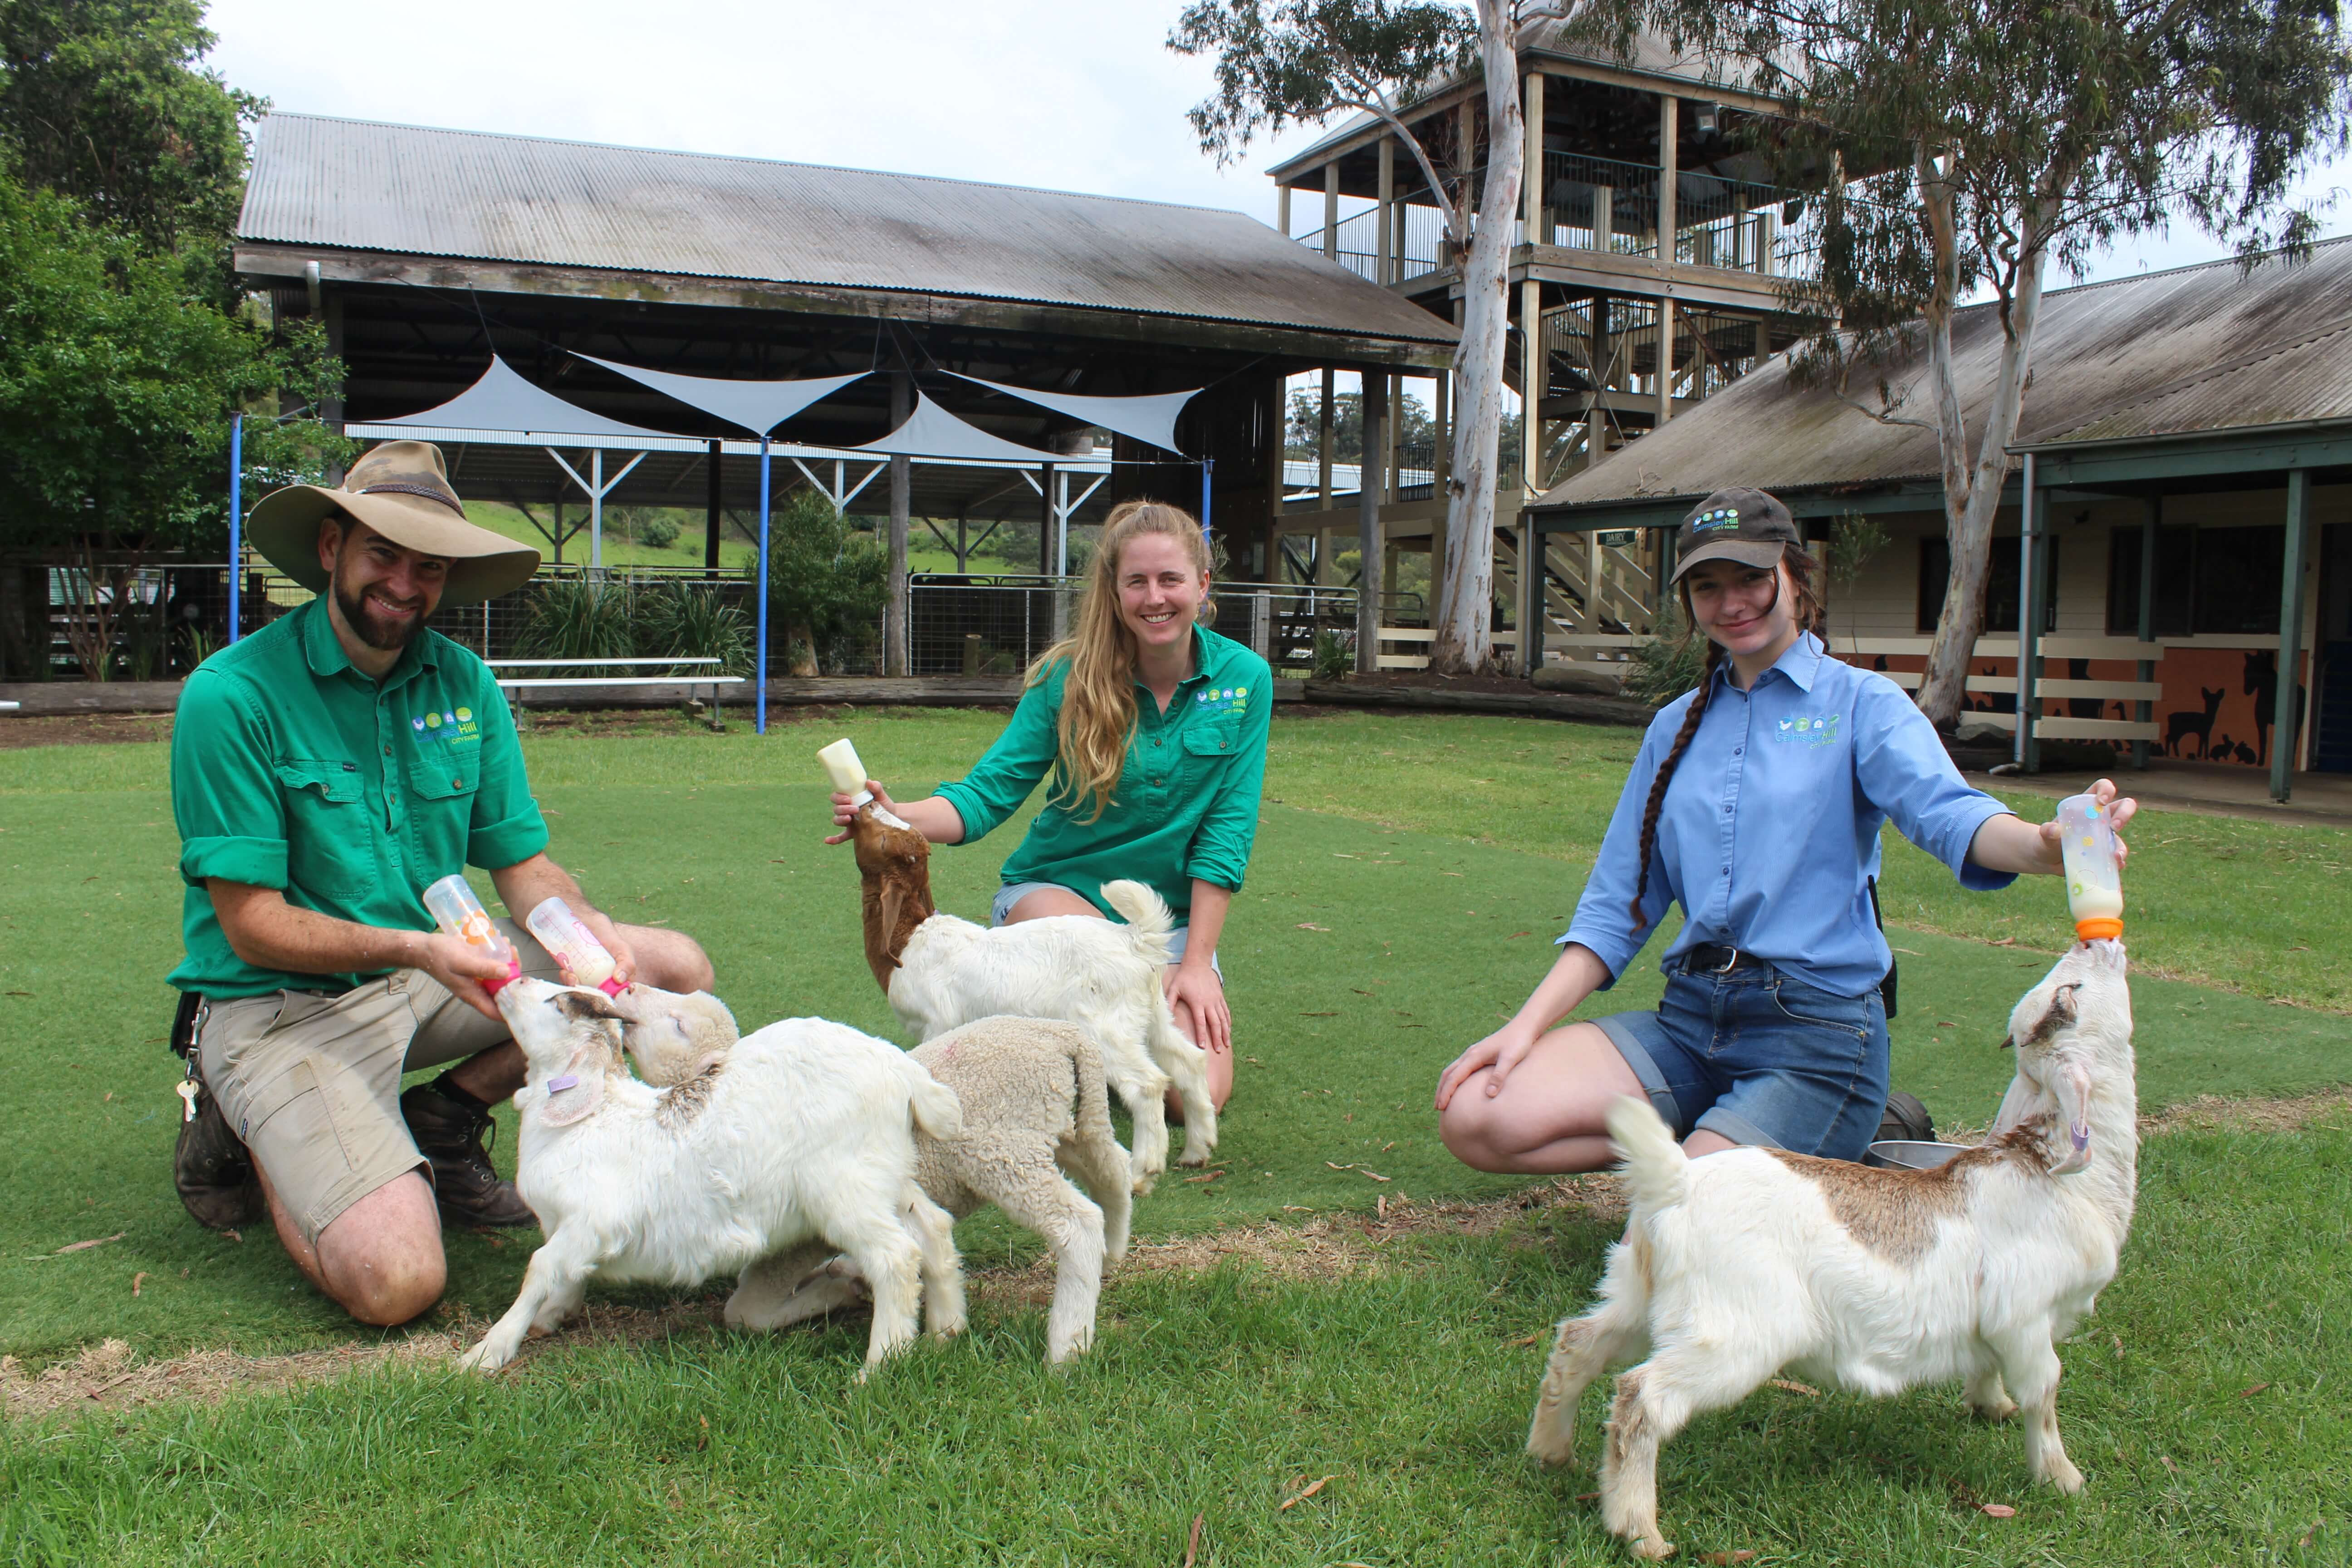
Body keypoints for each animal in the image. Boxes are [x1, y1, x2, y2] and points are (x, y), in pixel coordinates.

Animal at [454, 987, 969, 1382]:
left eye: (554, 1002)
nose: (508, 985)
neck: (591, 1118)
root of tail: (903, 1073)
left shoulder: (592, 1222)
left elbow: (541, 1268)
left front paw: (485, 1354)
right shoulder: (568, 1230)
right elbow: (564, 1276)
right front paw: (549, 1318)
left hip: (844, 1187)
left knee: (895, 1257)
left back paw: (880, 1367)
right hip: (889, 1176)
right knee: (934, 1229)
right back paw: (945, 1332)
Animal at [1533, 940, 2145, 1561]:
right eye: (2071, 991)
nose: (2096, 942)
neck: (2052, 1174)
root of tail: (1676, 1181)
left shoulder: (1998, 1326)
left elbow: (1992, 1371)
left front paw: (1990, 1406)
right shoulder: (2025, 1317)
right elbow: (2044, 1392)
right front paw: (2064, 1480)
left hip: (1639, 1293)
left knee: (1579, 1342)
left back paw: (1551, 1452)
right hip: (1735, 1334)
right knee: (1641, 1397)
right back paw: (1641, 1532)